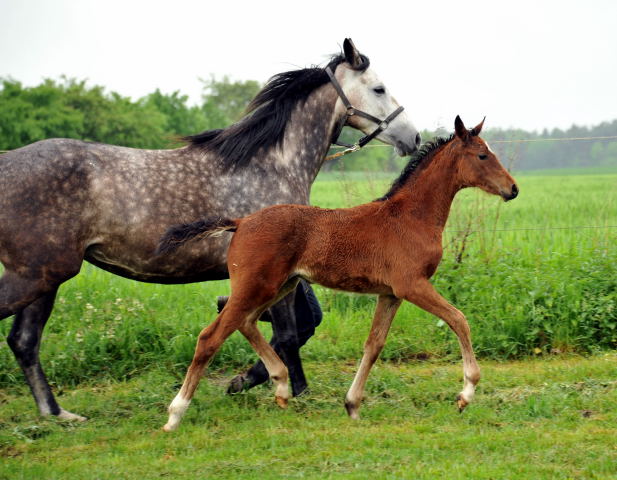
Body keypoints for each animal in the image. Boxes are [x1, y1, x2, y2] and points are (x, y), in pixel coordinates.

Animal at [0, 38, 418, 420]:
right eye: (378, 89)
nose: (412, 137)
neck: (271, 164)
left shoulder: (289, 272)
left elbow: (301, 324)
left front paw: (263, 380)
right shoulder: (279, 271)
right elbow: (288, 331)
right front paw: (269, 385)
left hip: (45, 277)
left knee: (23, 341)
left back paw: (58, 414)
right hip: (38, 274)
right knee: (21, 337)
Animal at [159, 116, 520, 432]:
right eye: (482, 155)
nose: (513, 189)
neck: (410, 217)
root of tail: (241, 222)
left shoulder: (389, 293)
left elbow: (374, 345)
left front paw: (352, 405)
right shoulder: (411, 285)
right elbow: (459, 319)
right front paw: (466, 394)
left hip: (281, 285)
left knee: (245, 322)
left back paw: (281, 386)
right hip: (256, 286)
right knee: (211, 336)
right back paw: (175, 415)